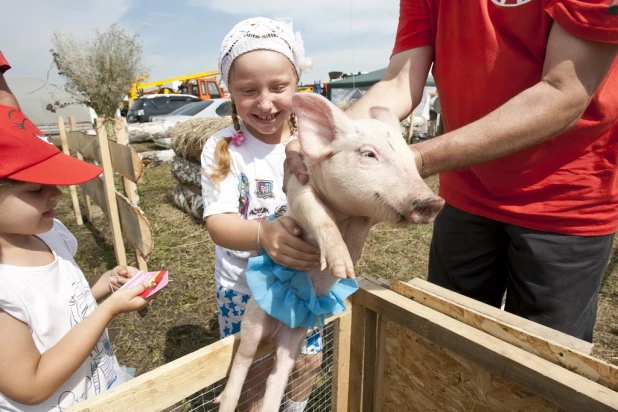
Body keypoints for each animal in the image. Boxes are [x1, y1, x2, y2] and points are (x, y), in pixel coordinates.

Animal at [214, 93, 440, 412]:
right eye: (369, 154)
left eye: (410, 159)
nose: (434, 202)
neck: (347, 212)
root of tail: (277, 328)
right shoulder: (299, 188)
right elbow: (320, 217)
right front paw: (341, 266)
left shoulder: (364, 219)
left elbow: (357, 236)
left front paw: (348, 268)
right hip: (253, 320)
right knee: (243, 363)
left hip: (294, 338)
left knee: (276, 378)